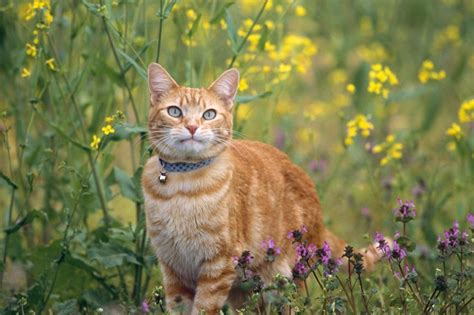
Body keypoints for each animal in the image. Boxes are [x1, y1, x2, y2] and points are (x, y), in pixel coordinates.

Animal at [142, 63, 382, 314]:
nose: (191, 127)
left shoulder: (217, 266)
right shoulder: (173, 268)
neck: (183, 186)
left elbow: (204, 307)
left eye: (209, 114)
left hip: (287, 279)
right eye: (175, 111)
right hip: (246, 290)